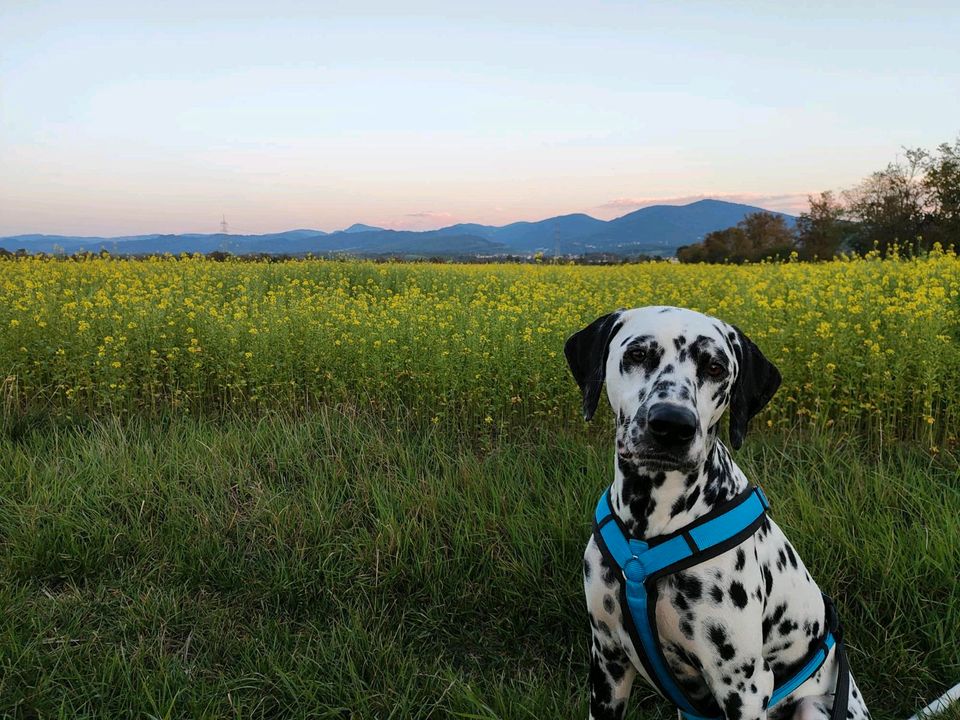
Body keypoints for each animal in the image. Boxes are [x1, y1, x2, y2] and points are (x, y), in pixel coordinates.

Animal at [564, 308, 872, 720]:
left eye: (715, 366)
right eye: (638, 354)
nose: (672, 424)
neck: (645, 540)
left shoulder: (743, 685)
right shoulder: (607, 661)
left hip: (814, 707)